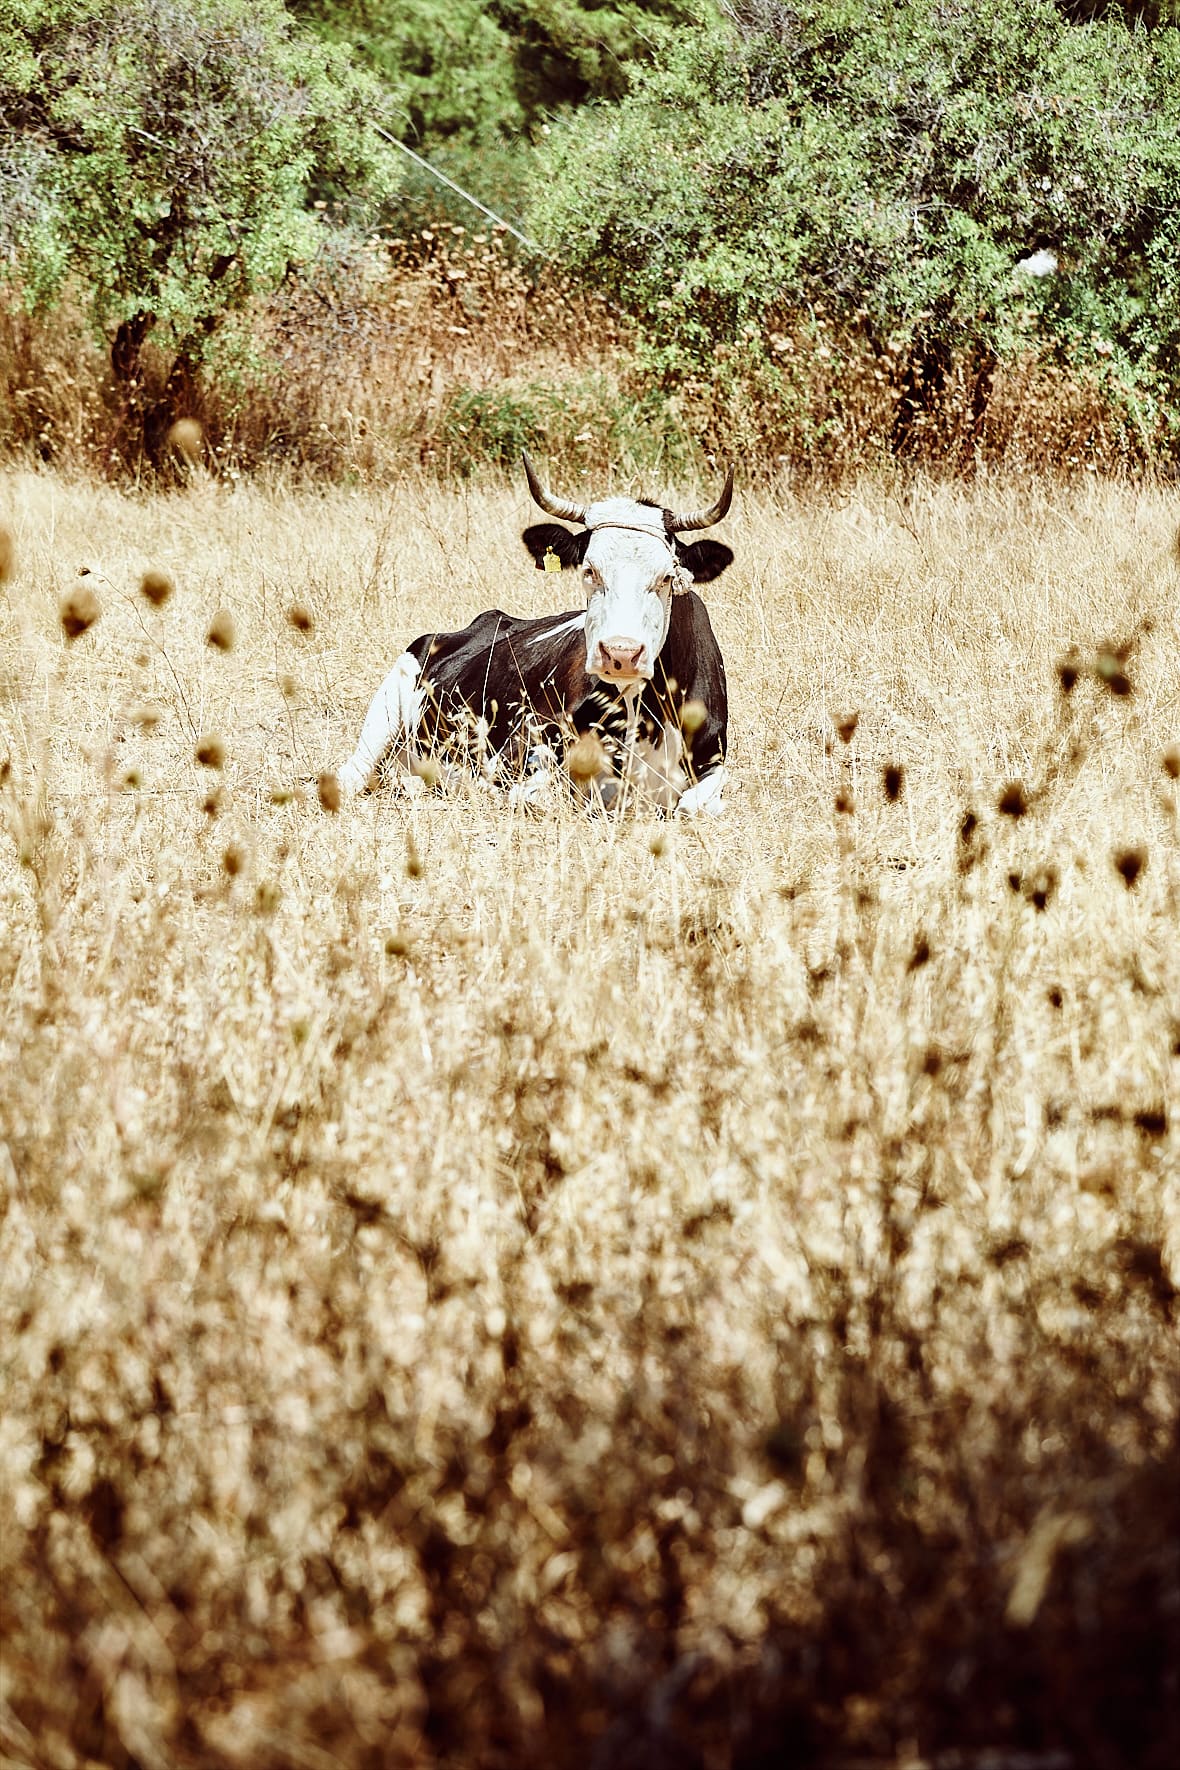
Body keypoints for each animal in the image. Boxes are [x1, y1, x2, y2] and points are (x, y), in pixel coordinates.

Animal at [332, 456, 732, 814]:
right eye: (589, 570)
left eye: (667, 576)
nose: (621, 653)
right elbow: (536, 795)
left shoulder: (713, 760)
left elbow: (696, 806)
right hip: (384, 713)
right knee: (354, 774)